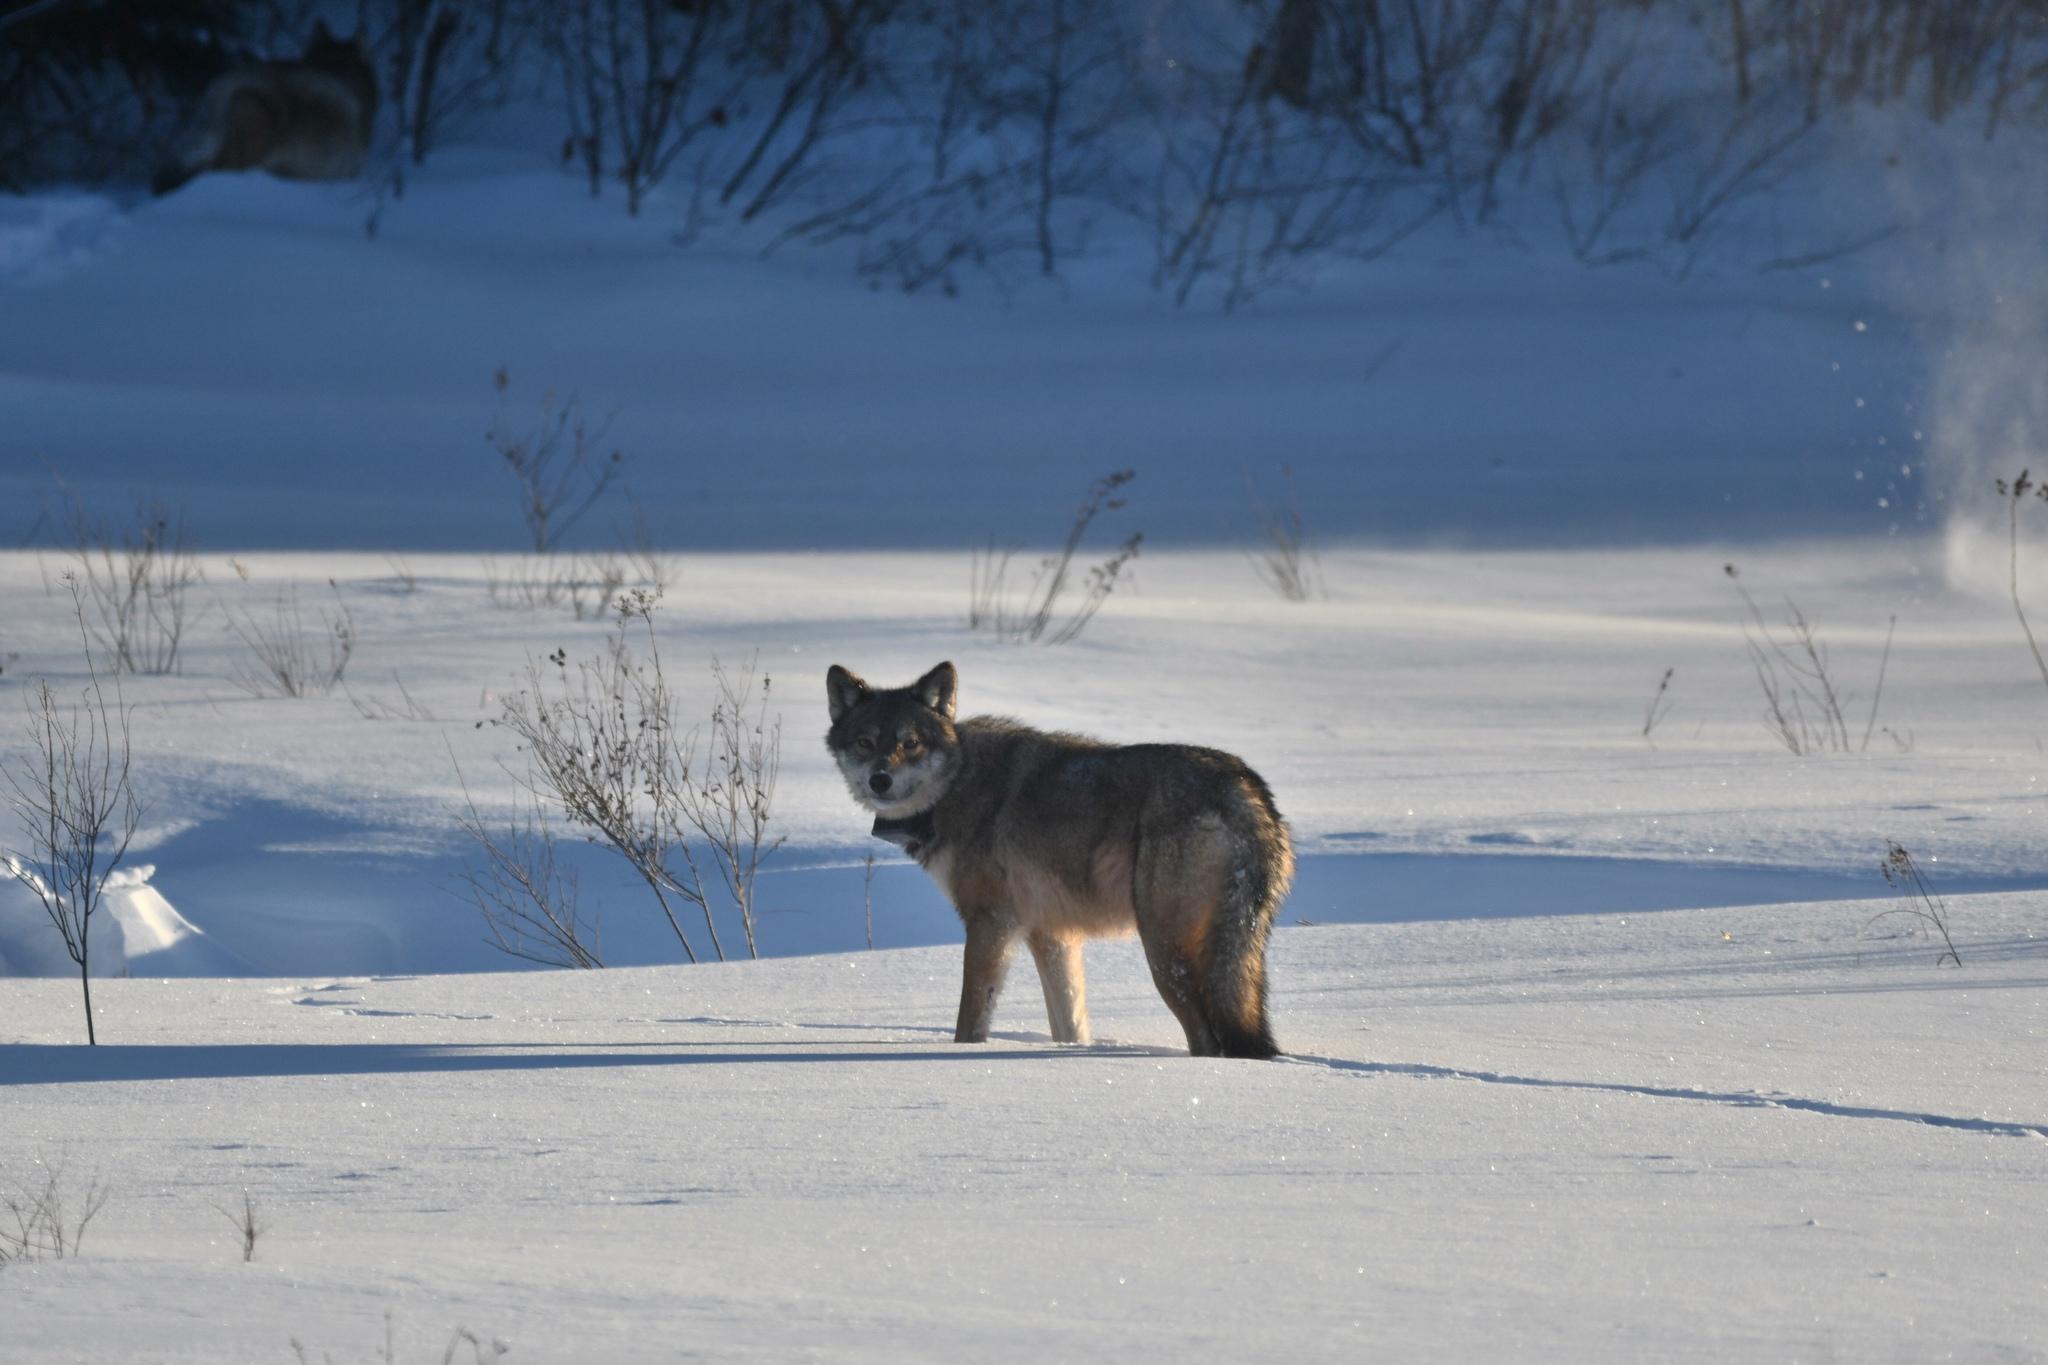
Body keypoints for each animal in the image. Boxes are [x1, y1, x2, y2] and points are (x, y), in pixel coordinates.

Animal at [825, 662, 1293, 1059]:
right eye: (865, 743)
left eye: (911, 744)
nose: (880, 780)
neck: (957, 785)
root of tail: (1245, 786)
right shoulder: (1051, 934)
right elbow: (1069, 1024)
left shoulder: (991, 923)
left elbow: (969, 1022)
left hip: (1163, 952)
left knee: (1206, 1039)